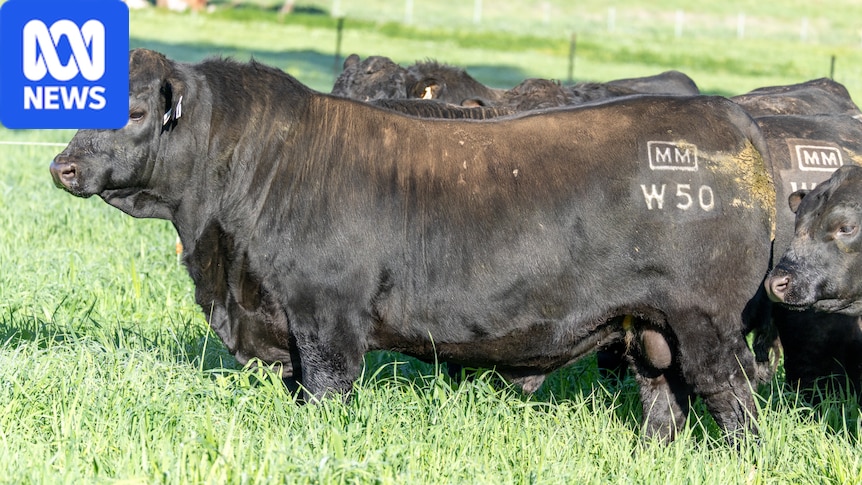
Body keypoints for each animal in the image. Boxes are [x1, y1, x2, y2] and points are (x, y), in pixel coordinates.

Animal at [50, 49, 776, 445]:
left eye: (135, 111)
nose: (62, 165)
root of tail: (728, 118)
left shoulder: (327, 325)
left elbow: (326, 398)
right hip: (650, 332)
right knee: (664, 406)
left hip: (707, 327)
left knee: (735, 404)